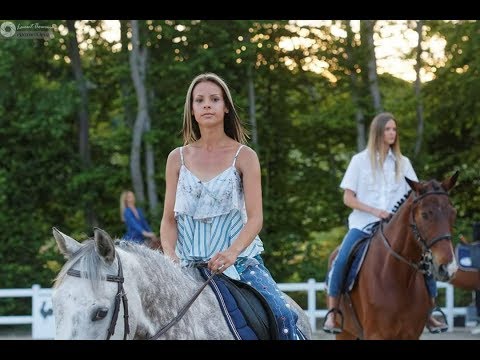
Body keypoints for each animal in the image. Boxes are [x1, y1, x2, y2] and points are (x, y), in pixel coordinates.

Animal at [328, 173, 460, 338]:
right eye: (424, 214)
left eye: (453, 213)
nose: (448, 267)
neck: (398, 277)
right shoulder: (375, 334)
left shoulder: (411, 335)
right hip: (345, 332)